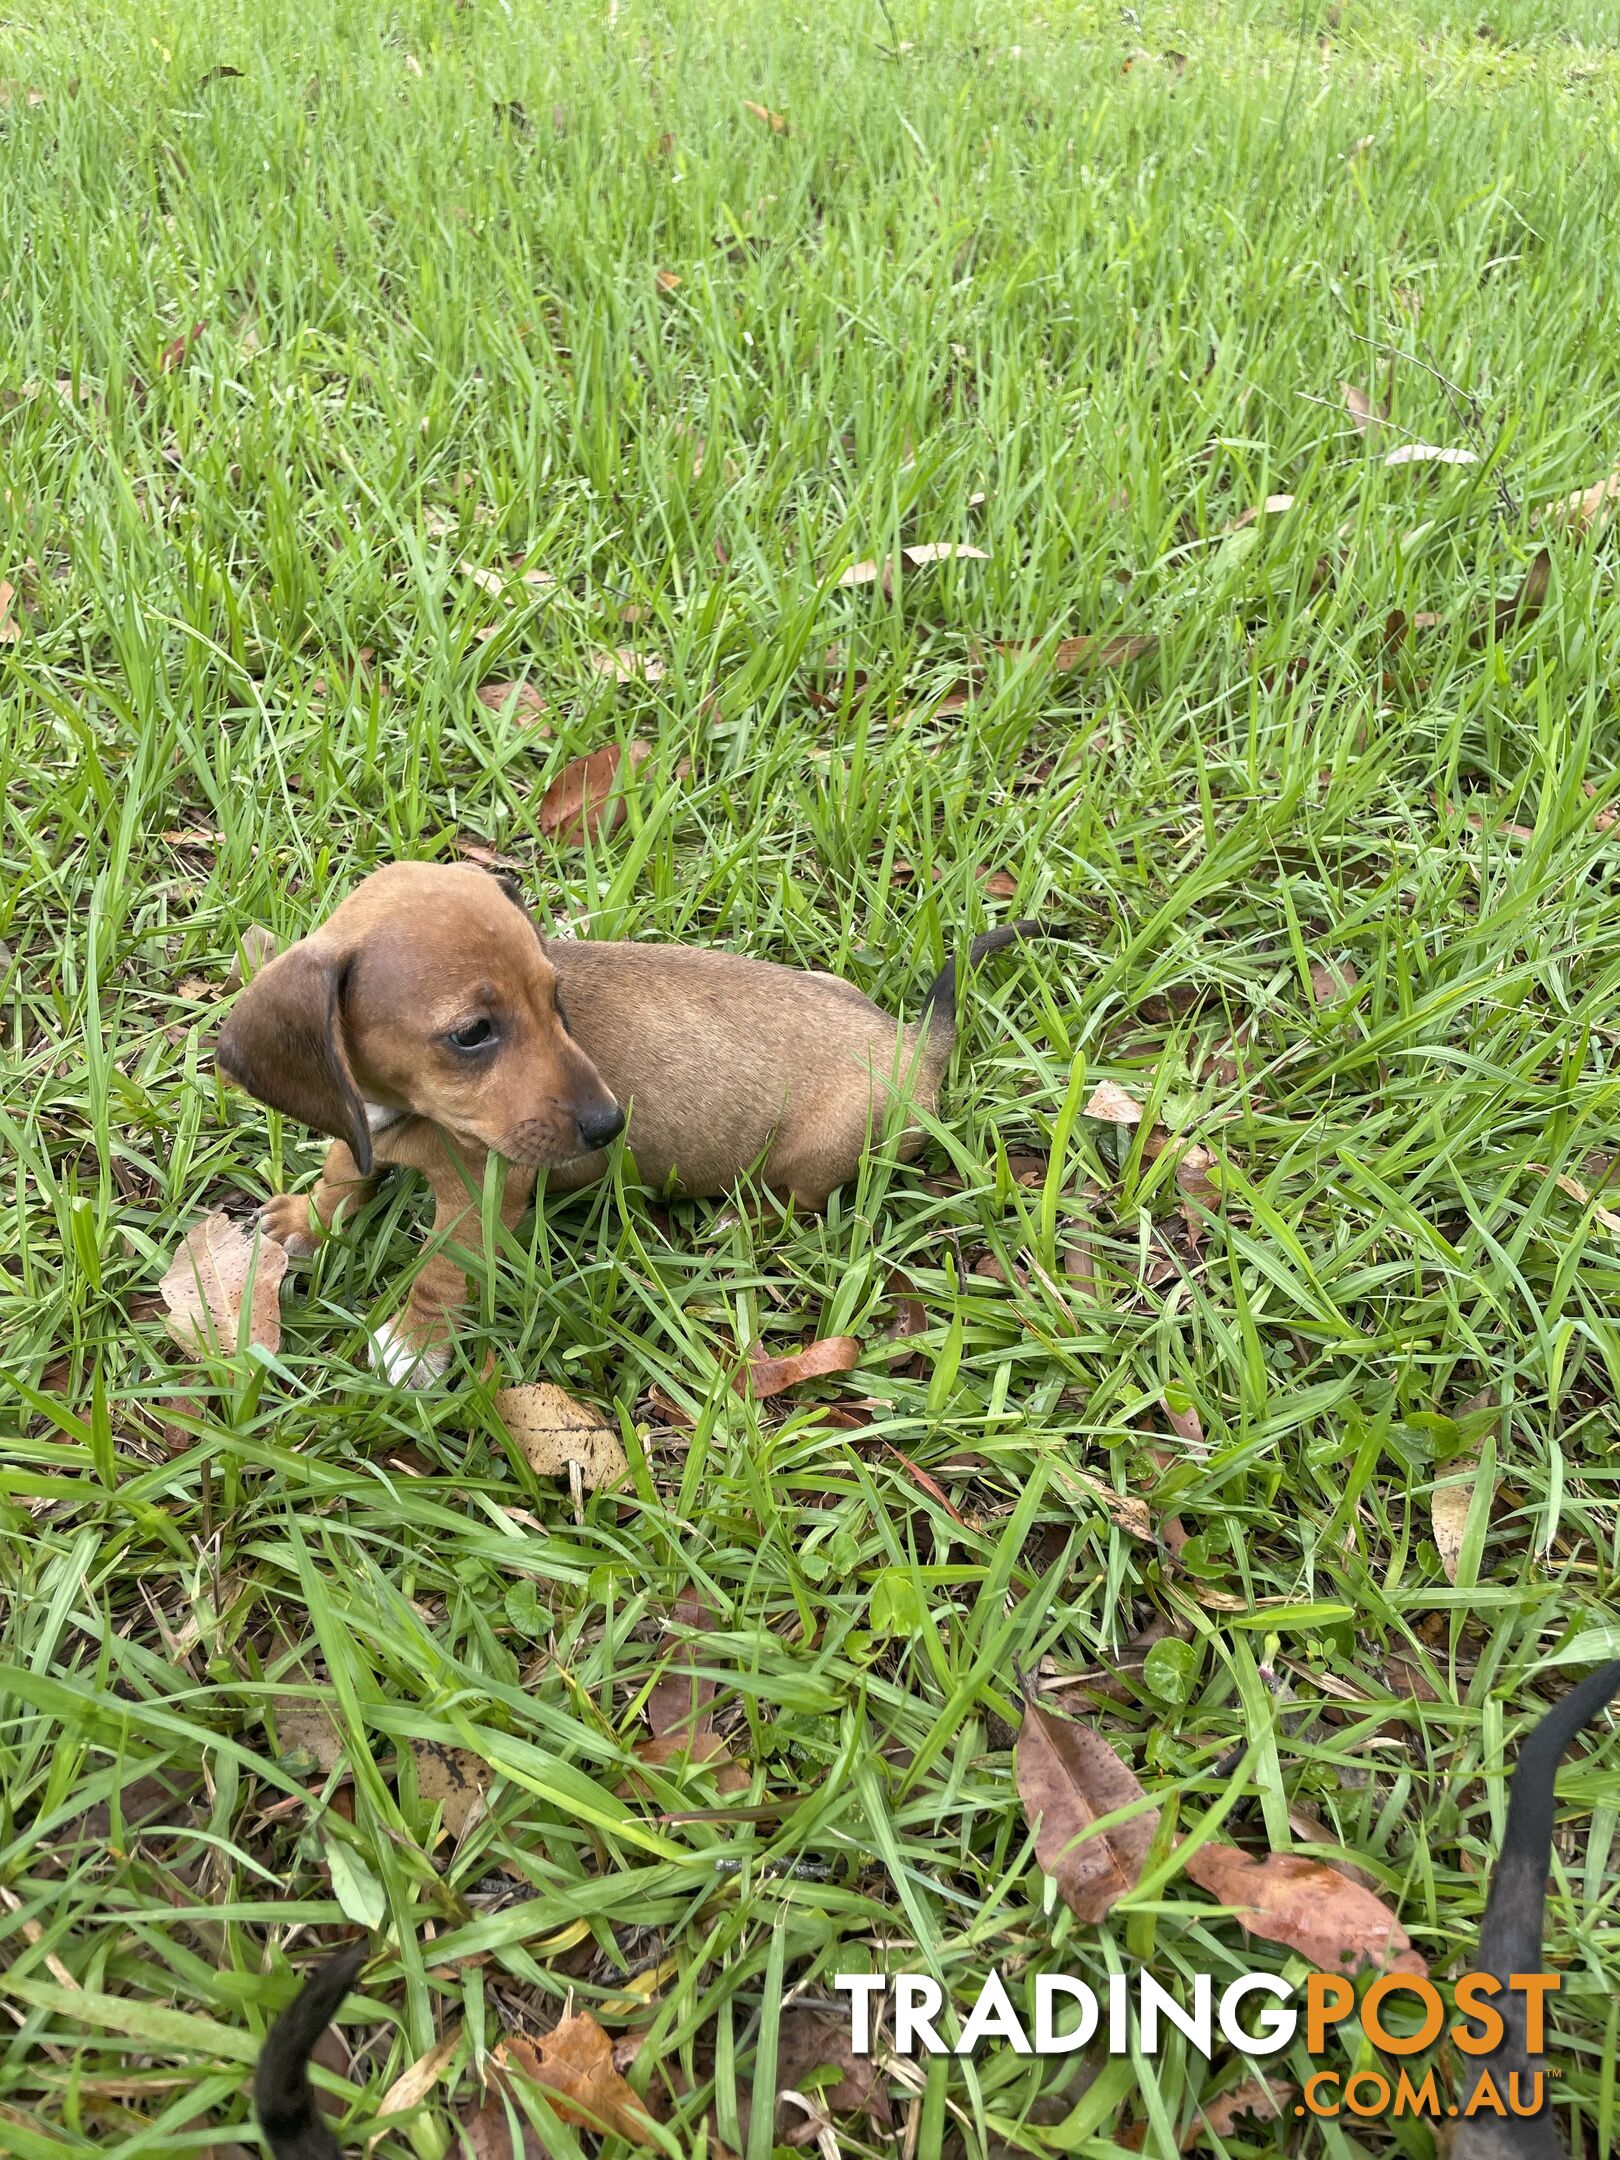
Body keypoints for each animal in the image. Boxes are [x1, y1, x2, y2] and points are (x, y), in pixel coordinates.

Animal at [216, 859, 1045, 1382]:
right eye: (472, 1033)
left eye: (555, 998)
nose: (609, 1125)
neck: (408, 1114)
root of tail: (912, 1045)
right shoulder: (362, 1121)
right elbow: (344, 1167)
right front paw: (306, 1218)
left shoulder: (485, 1196)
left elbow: (443, 1269)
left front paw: (417, 1345)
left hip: (817, 1155)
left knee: (796, 1202)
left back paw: (735, 1221)